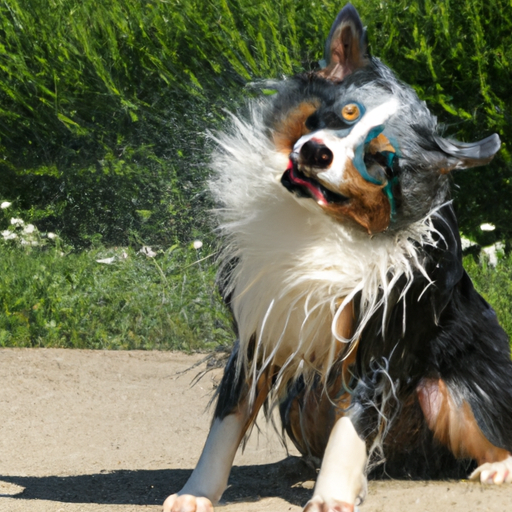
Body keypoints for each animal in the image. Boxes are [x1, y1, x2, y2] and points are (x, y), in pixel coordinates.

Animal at [163, 5, 512, 512]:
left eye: (381, 158)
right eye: (345, 113)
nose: (316, 151)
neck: (321, 226)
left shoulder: (382, 338)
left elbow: (353, 425)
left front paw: (330, 497)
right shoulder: (258, 327)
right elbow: (227, 419)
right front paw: (196, 493)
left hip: (451, 386)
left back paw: (495, 468)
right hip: (301, 399)